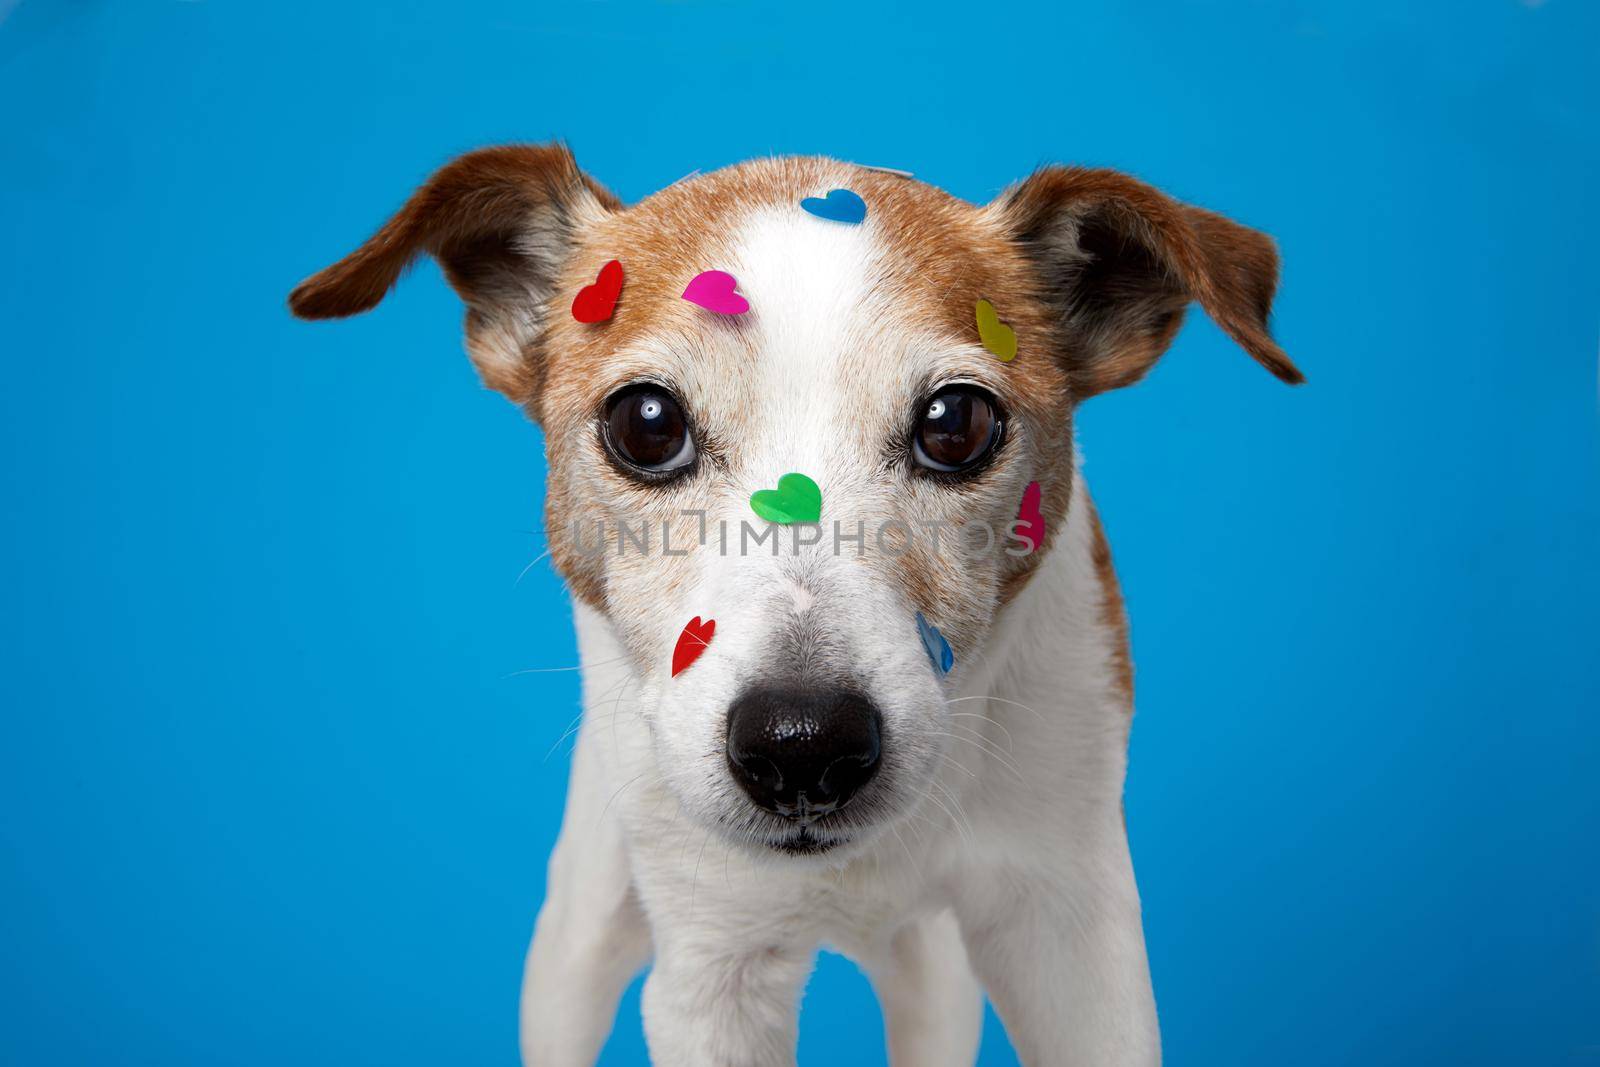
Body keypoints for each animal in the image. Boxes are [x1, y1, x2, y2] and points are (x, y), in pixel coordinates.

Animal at [288, 143, 1299, 1067]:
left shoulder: (1072, 934)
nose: (803, 743)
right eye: (646, 423)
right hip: (574, 941)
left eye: (957, 423)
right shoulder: (712, 971)